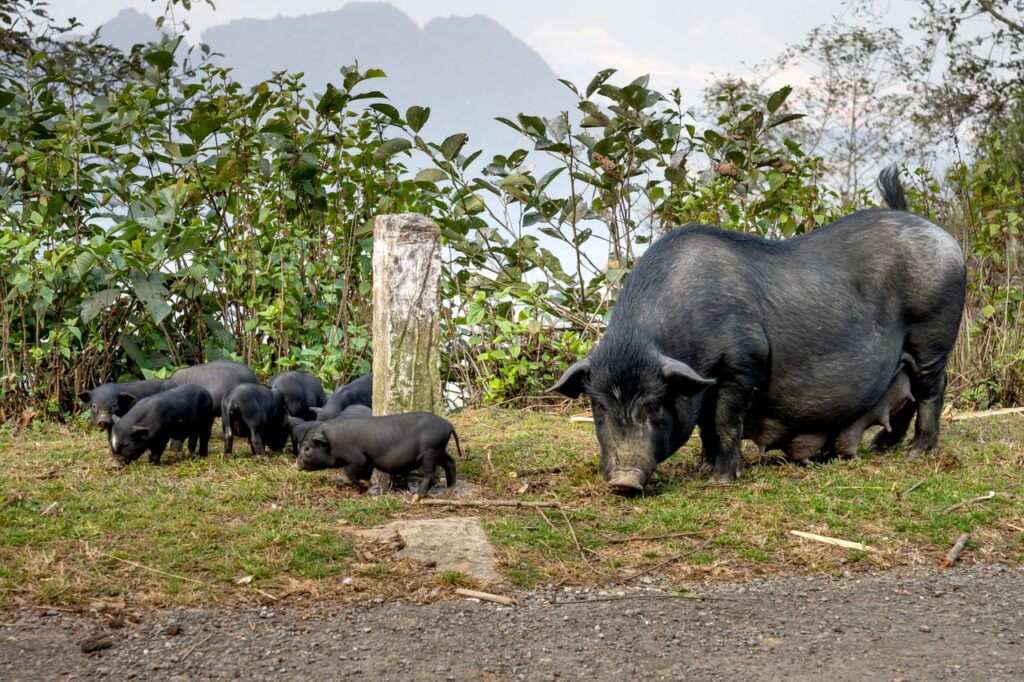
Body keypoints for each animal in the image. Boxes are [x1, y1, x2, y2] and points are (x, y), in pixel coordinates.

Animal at [296, 412, 461, 499]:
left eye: (306, 448)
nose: (296, 464)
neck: (333, 441)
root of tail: (448, 424)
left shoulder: (358, 459)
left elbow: (350, 473)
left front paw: (367, 485)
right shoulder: (368, 461)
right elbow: (365, 474)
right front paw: (360, 492)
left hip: (430, 452)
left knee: (430, 474)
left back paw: (415, 498)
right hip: (439, 450)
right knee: (450, 462)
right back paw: (449, 489)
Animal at [550, 166, 966, 492]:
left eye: (653, 405)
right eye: (598, 407)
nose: (624, 482)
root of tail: (942, 235)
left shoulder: (742, 362)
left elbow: (723, 422)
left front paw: (719, 480)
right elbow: (705, 425)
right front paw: (702, 467)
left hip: (933, 335)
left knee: (931, 391)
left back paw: (916, 453)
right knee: (905, 396)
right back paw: (881, 447)